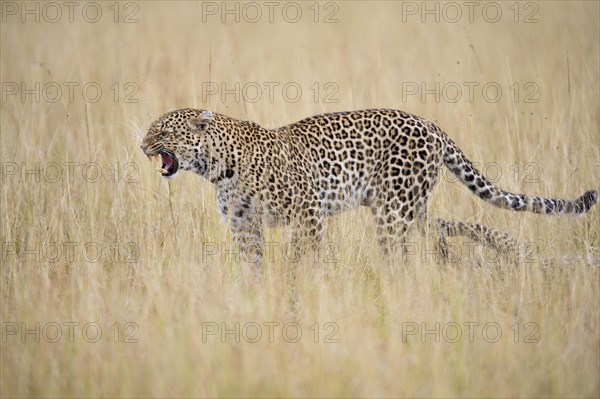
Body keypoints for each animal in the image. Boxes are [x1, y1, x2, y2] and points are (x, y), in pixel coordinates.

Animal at [139, 108, 596, 266]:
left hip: (394, 211)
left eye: (162, 131)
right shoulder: (244, 225)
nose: (142, 145)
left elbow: (304, 258)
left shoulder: (308, 213)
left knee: (402, 253)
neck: (217, 167)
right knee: (439, 231)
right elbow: (251, 264)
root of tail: (432, 126)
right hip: (405, 207)